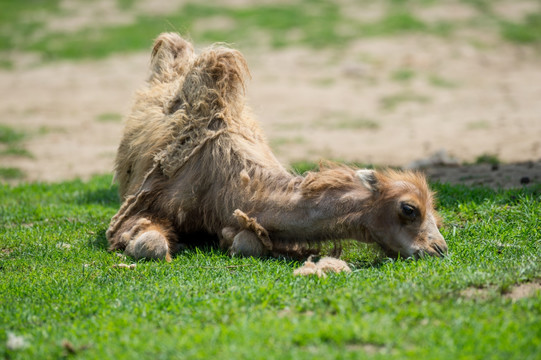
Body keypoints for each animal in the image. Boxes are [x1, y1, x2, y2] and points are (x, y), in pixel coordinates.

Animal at [103, 33, 446, 262]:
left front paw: (230, 239)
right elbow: (149, 245)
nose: (439, 248)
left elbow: (248, 242)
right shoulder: (143, 206)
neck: (220, 182)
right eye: (409, 209)